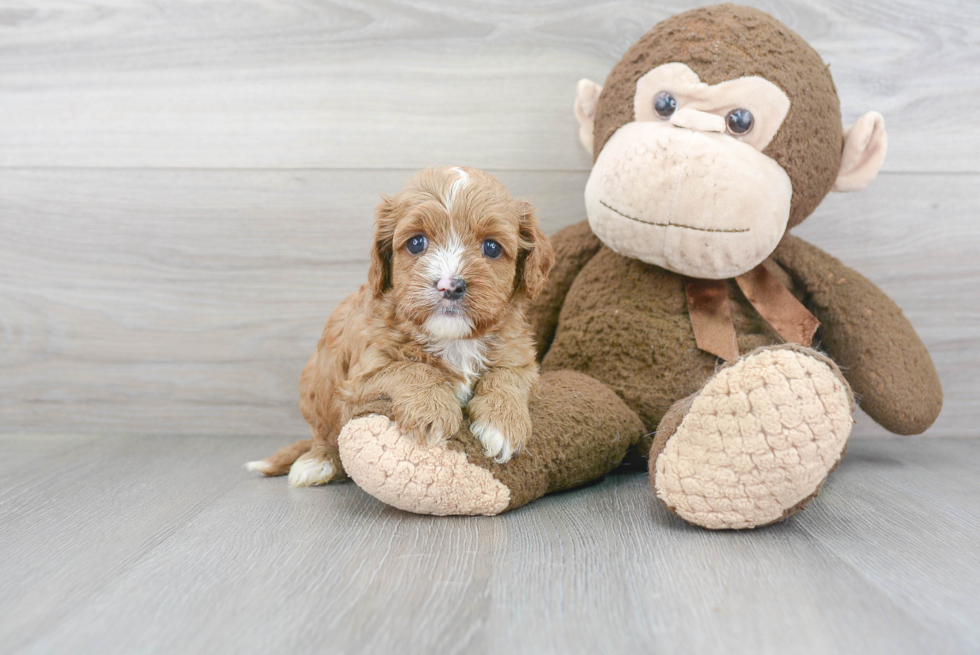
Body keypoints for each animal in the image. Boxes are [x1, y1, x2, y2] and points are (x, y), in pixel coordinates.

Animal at [247, 168, 552, 486]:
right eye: (417, 243)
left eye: (491, 247)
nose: (450, 286)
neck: (453, 339)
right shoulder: (359, 379)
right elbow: (410, 368)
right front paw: (433, 410)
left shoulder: (522, 360)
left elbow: (507, 376)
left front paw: (503, 423)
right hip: (316, 394)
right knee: (325, 436)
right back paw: (318, 462)